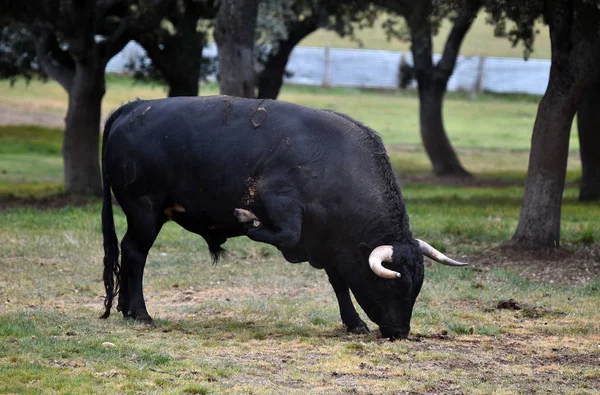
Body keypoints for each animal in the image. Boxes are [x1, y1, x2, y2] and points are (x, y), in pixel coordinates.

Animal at [102, 96, 468, 340]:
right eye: (392, 284)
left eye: (417, 287)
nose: (401, 332)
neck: (337, 165)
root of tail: (135, 107)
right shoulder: (278, 199)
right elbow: (286, 233)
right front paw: (247, 220)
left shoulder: (330, 242)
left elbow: (340, 283)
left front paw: (354, 323)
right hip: (145, 212)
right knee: (134, 253)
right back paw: (140, 313)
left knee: (128, 253)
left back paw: (125, 309)